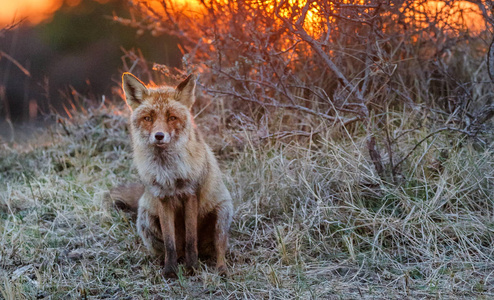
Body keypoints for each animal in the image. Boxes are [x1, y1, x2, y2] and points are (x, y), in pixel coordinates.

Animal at [109, 72, 233, 276]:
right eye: (148, 118)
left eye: (172, 117)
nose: (159, 136)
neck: (168, 173)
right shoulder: (162, 198)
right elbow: (169, 243)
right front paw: (170, 271)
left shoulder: (190, 194)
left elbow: (191, 240)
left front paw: (192, 268)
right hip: (145, 218)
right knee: (174, 248)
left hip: (222, 215)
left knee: (218, 247)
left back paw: (221, 269)